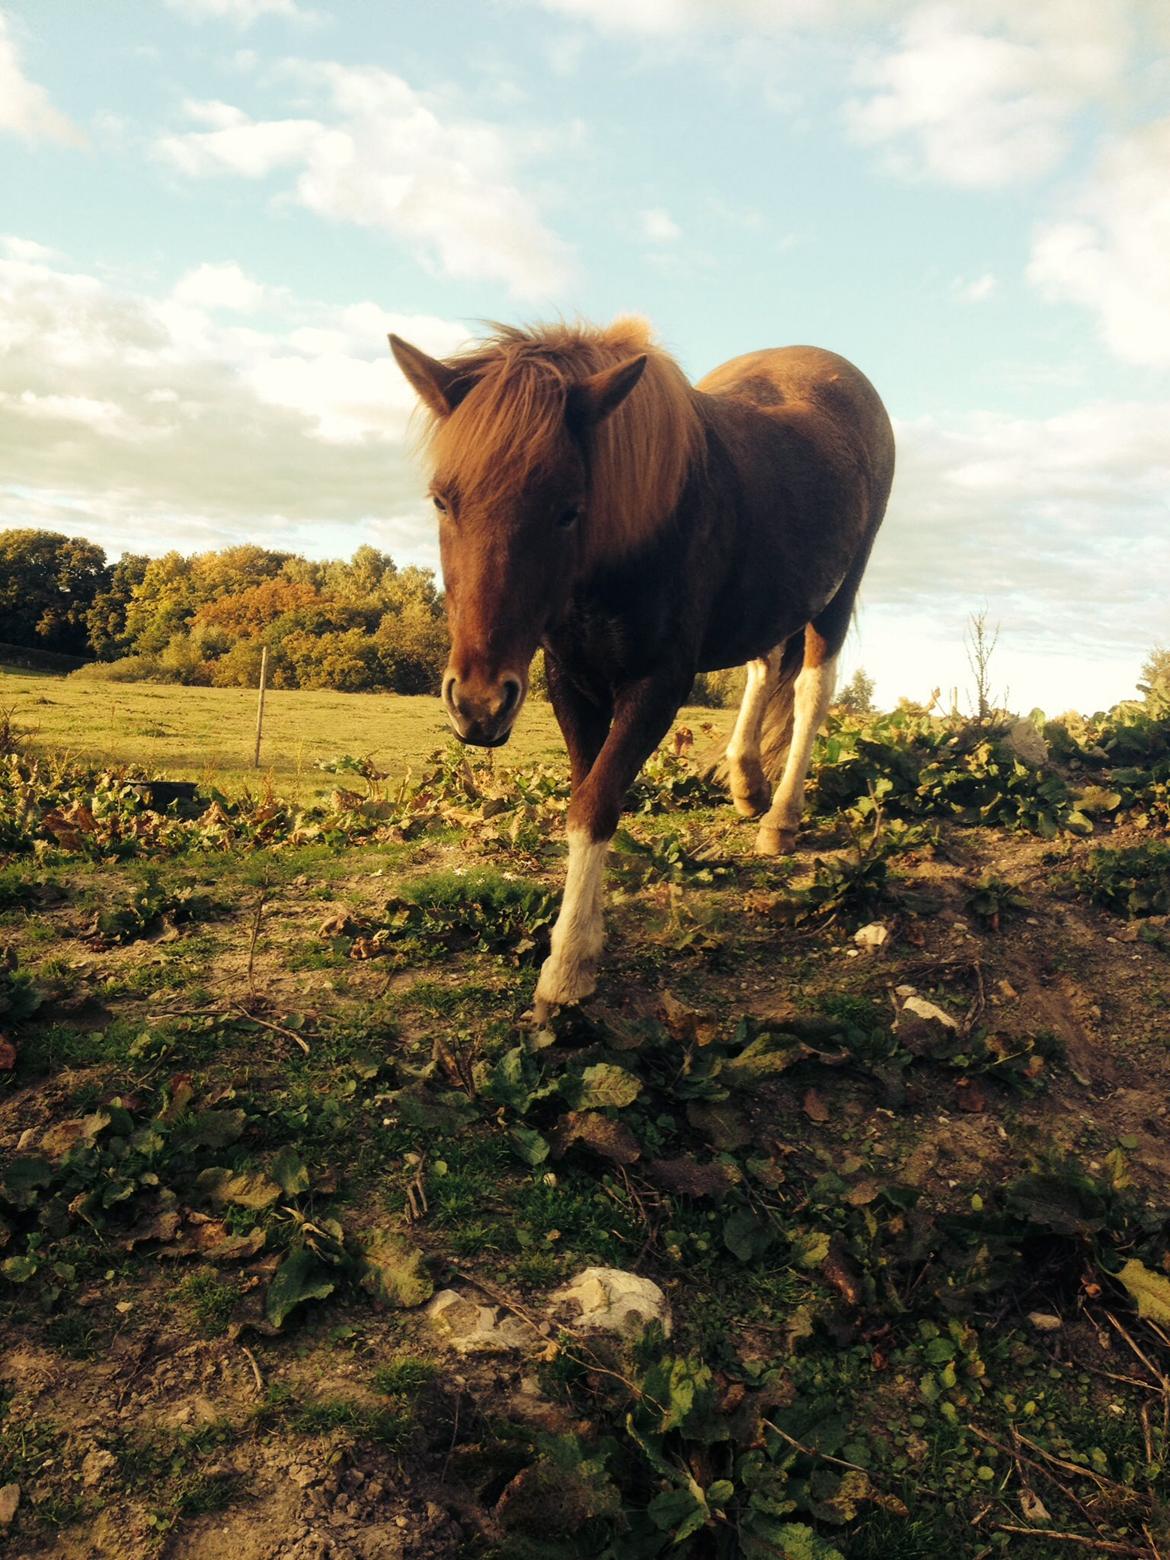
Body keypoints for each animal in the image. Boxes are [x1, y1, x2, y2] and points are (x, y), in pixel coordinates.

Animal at [391, 318, 898, 1023]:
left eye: (568, 509)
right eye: (443, 501)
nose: (479, 705)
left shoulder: (658, 685)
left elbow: (596, 803)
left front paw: (568, 966)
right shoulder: (570, 681)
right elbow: (583, 793)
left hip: (839, 594)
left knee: (809, 691)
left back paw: (781, 819)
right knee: (764, 665)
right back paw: (746, 782)